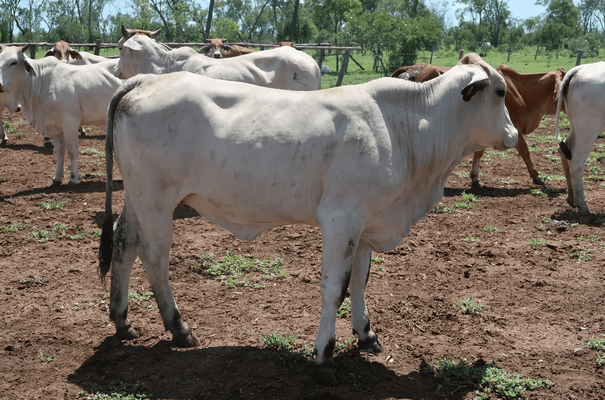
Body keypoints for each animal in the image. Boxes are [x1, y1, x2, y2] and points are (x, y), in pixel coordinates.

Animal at [0, 43, 122, 188]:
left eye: (13, 62)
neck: (41, 82)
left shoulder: (70, 123)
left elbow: (72, 151)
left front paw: (73, 178)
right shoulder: (56, 127)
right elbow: (60, 151)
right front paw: (57, 177)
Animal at [98, 54, 516, 386]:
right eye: (499, 92)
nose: (513, 134)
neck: (406, 128)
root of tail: (147, 79)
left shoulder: (365, 224)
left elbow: (361, 281)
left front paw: (366, 334)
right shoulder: (339, 219)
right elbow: (335, 288)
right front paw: (324, 357)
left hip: (138, 197)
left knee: (124, 242)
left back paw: (122, 319)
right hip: (156, 200)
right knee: (155, 256)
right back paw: (178, 328)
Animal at [394, 62, 564, 188]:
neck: (520, 91)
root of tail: (410, 69)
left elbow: (479, 152)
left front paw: (475, 177)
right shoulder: (511, 128)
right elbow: (524, 150)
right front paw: (537, 176)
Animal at [556, 60, 604, 212]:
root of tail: (581, 68)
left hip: (575, 127)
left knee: (565, 149)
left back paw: (571, 198)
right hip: (588, 129)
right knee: (576, 161)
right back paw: (581, 204)